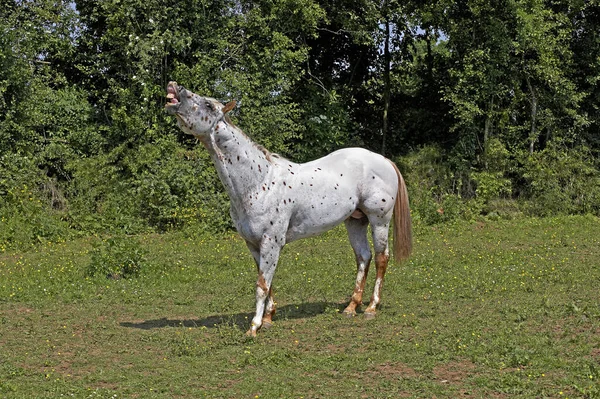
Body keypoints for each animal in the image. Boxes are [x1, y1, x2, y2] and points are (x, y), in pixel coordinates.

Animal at [165, 83, 412, 340]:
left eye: (208, 104)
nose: (175, 90)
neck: (259, 182)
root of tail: (384, 160)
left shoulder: (271, 242)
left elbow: (261, 285)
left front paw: (254, 327)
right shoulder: (253, 244)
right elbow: (267, 281)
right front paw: (268, 318)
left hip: (379, 220)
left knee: (382, 258)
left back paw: (372, 307)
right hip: (355, 221)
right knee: (363, 257)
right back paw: (351, 307)